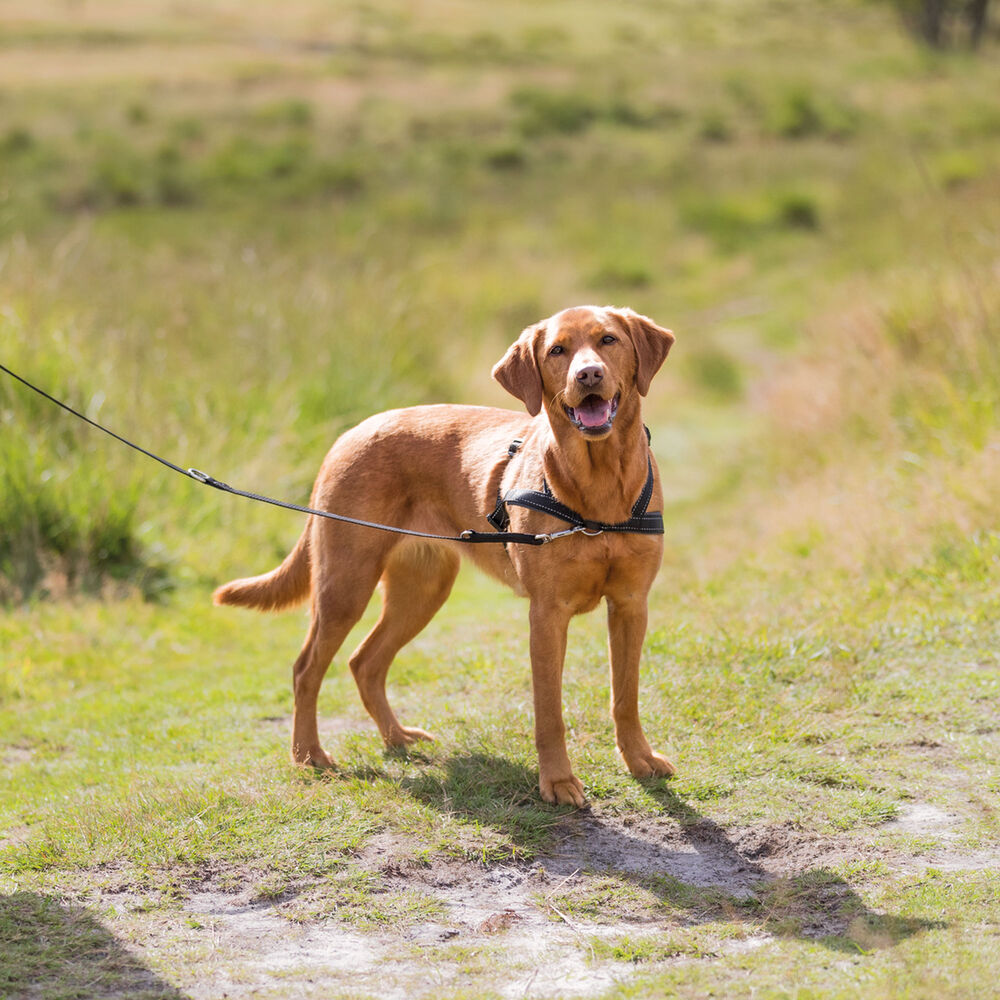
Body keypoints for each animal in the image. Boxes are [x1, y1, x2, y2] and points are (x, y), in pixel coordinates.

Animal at [214, 304, 676, 804]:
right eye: (558, 350)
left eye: (608, 340)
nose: (588, 374)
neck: (600, 485)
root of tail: (349, 433)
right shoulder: (547, 614)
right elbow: (549, 712)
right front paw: (557, 782)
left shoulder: (631, 605)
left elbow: (625, 697)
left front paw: (638, 760)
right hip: (345, 585)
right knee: (306, 669)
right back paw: (308, 755)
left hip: (422, 590)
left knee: (365, 662)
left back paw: (397, 738)